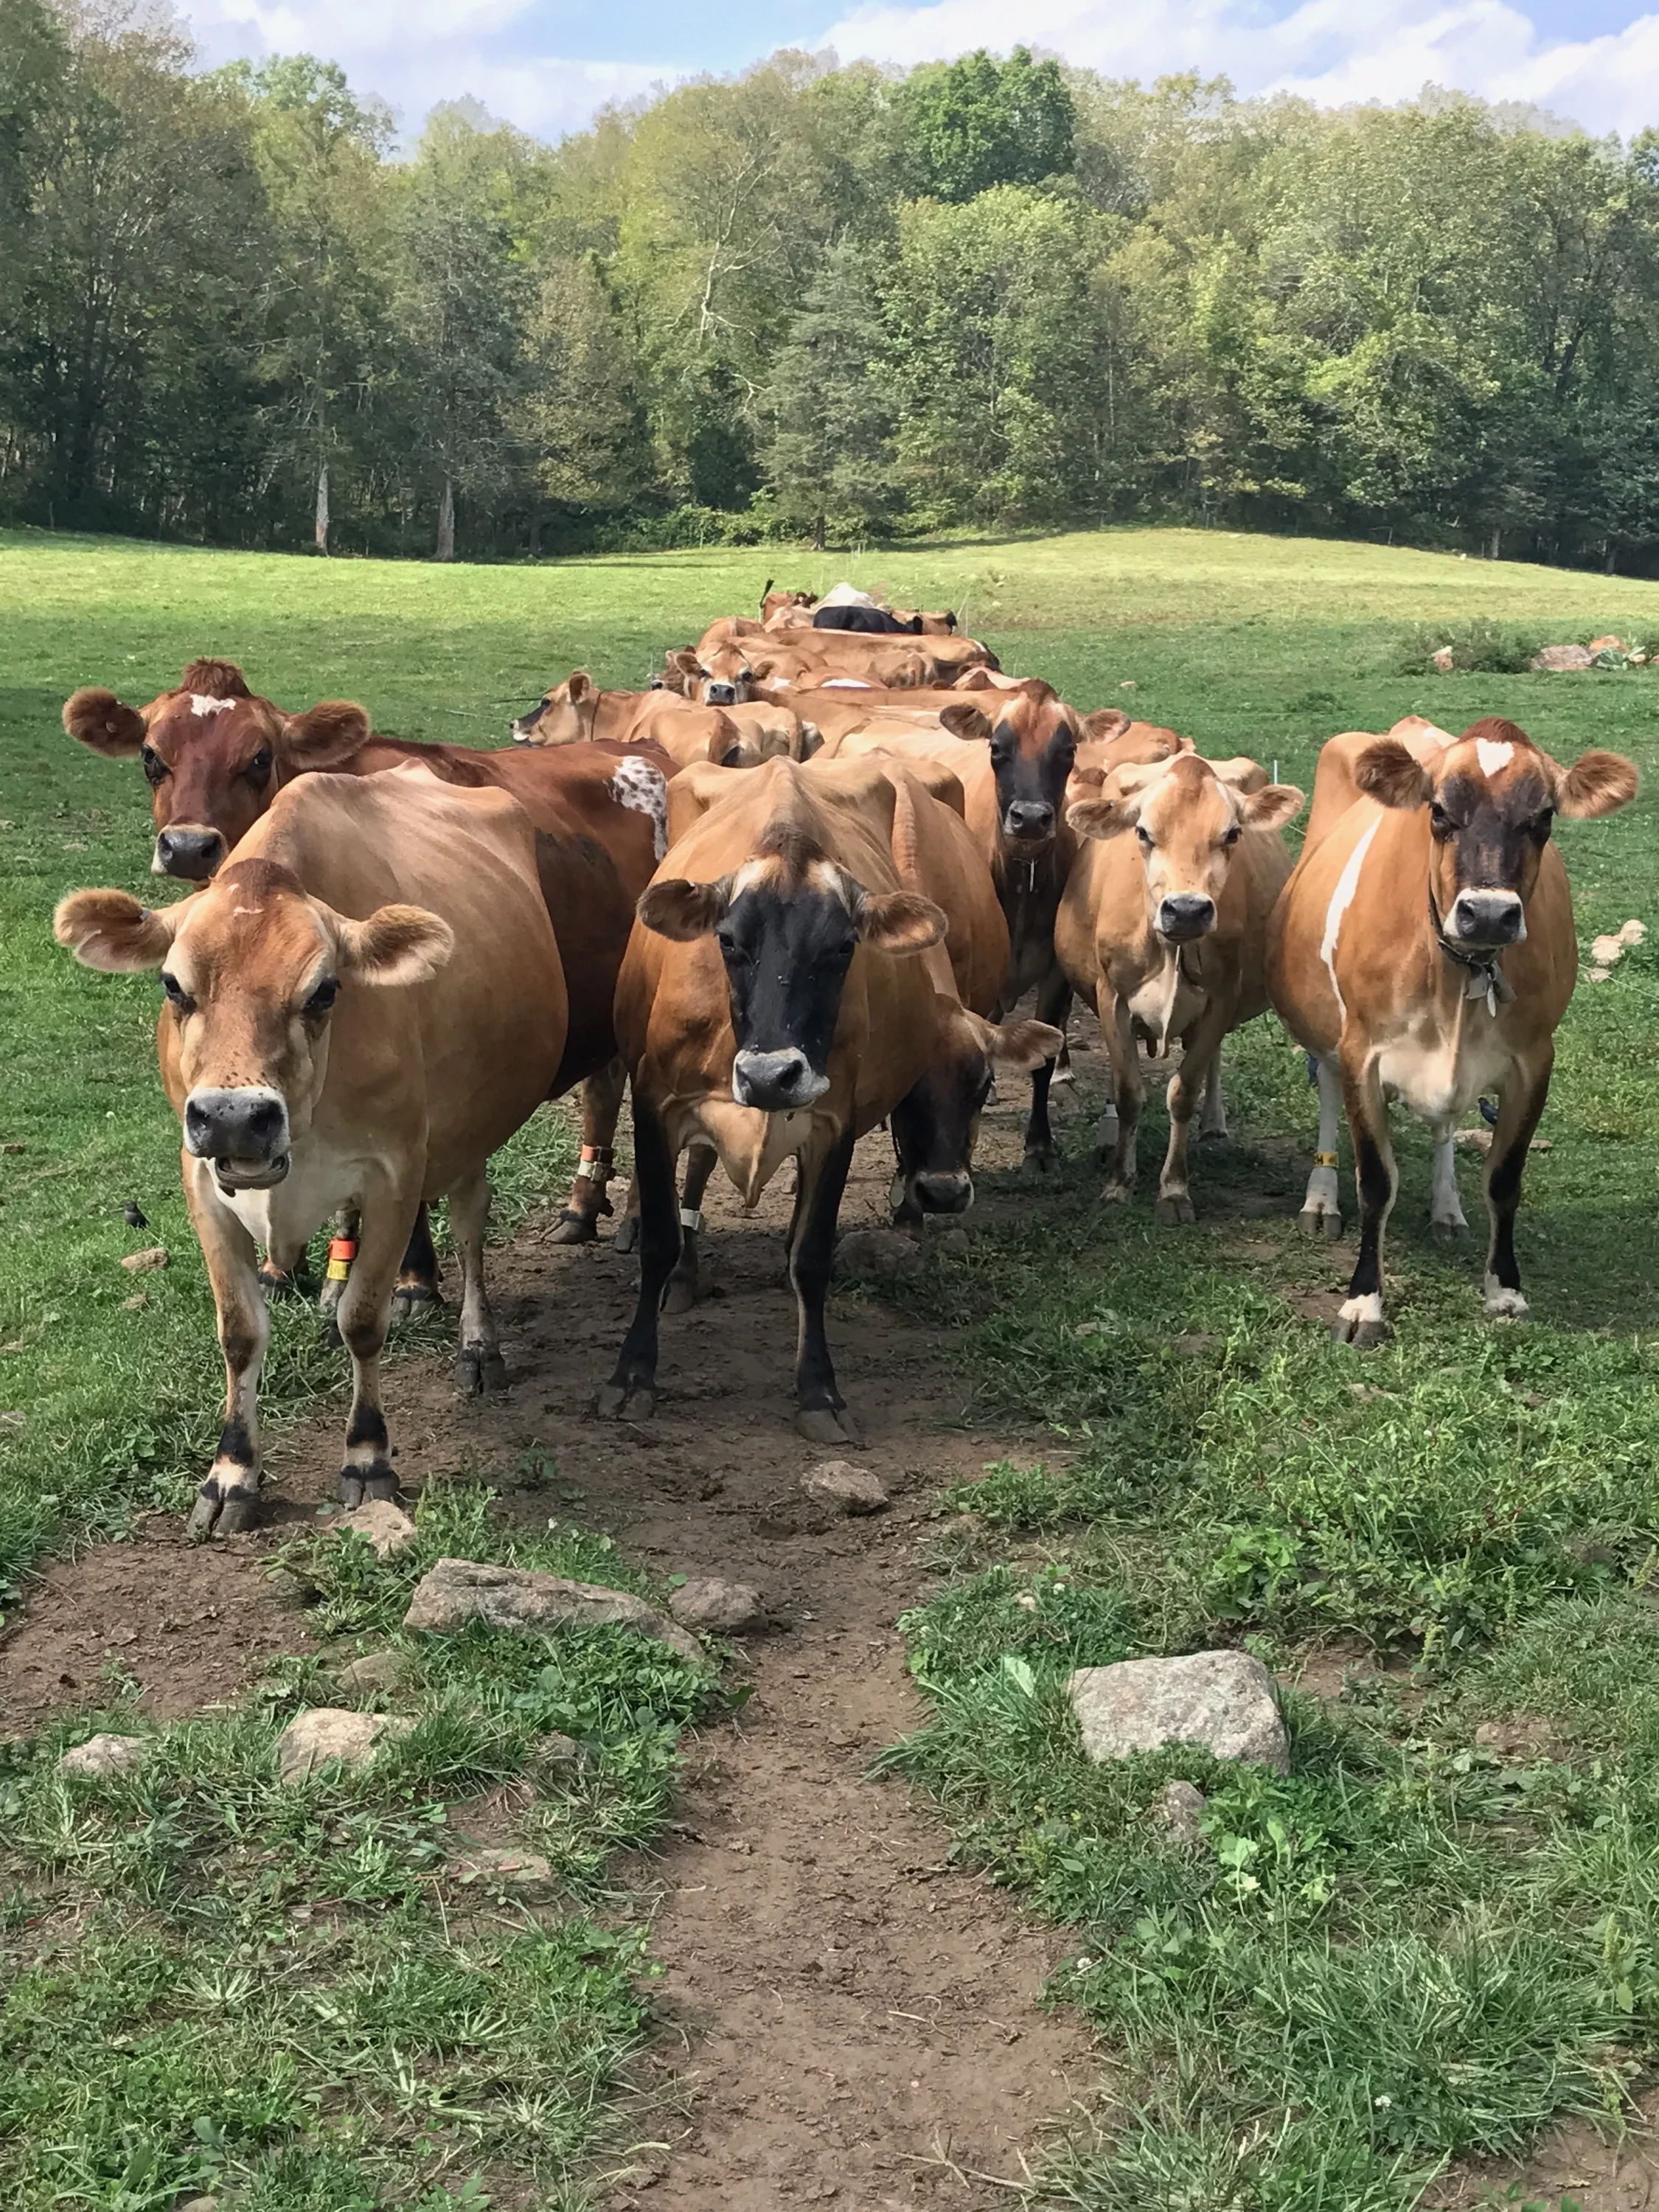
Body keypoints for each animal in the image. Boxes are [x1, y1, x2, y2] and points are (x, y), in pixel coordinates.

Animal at [55, 769, 568, 1536]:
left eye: (325, 991)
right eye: (173, 985)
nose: (235, 1119)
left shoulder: (396, 1172)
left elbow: (366, 1320)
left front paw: (367, 1458)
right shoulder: (202, 1183)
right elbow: (239, 1332)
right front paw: (231, 1473)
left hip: (470, 1131)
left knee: (471, 1225)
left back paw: (479, 1346)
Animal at [597, 757, 954, 1442]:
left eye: (843, 946)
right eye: (728, 941)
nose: (771, 1076)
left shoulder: (835, 1123)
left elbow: (811, 1256)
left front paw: (819, 1389)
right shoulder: (655, 1106)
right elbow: (658, 1238)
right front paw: (632, 1376)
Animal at [1057, 754, 1304, 1220]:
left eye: (1232, 834)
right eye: (1142, 832)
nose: (1187, 909)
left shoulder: (1221, 999)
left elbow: (1184, 1092)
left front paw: (1174, 1188)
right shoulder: (1111, 997)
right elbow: (1129, 1091)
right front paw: (1119, 1183)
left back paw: (1214, 1124)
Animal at [1266, 716, 1637, 1344]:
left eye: (1543, 817)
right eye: (1438, 812)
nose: (1488, 913)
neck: (1458, 970)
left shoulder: (1535, 1061)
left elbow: (1504, 1179)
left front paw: (1505, 1290)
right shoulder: (1363, 1052)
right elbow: (1376, 1183)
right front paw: (1363, 1302)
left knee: (1444, 1128)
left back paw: (1446, 1209)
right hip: (1326, 1032)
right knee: (1328, 1096)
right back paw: (1321, 1201)